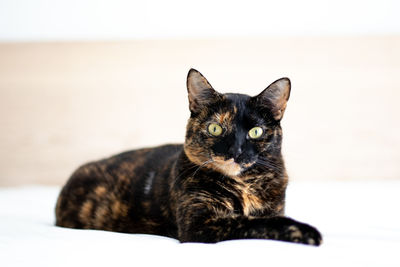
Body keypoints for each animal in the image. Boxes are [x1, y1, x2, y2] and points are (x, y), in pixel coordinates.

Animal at [54, 69, 322, 247]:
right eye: (215, 128)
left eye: (255, 132)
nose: (235, 151)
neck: (245, 187)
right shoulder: (199, 223)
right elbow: (251, 223)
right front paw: (306, 231)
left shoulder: (273, 207)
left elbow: (263, 219)